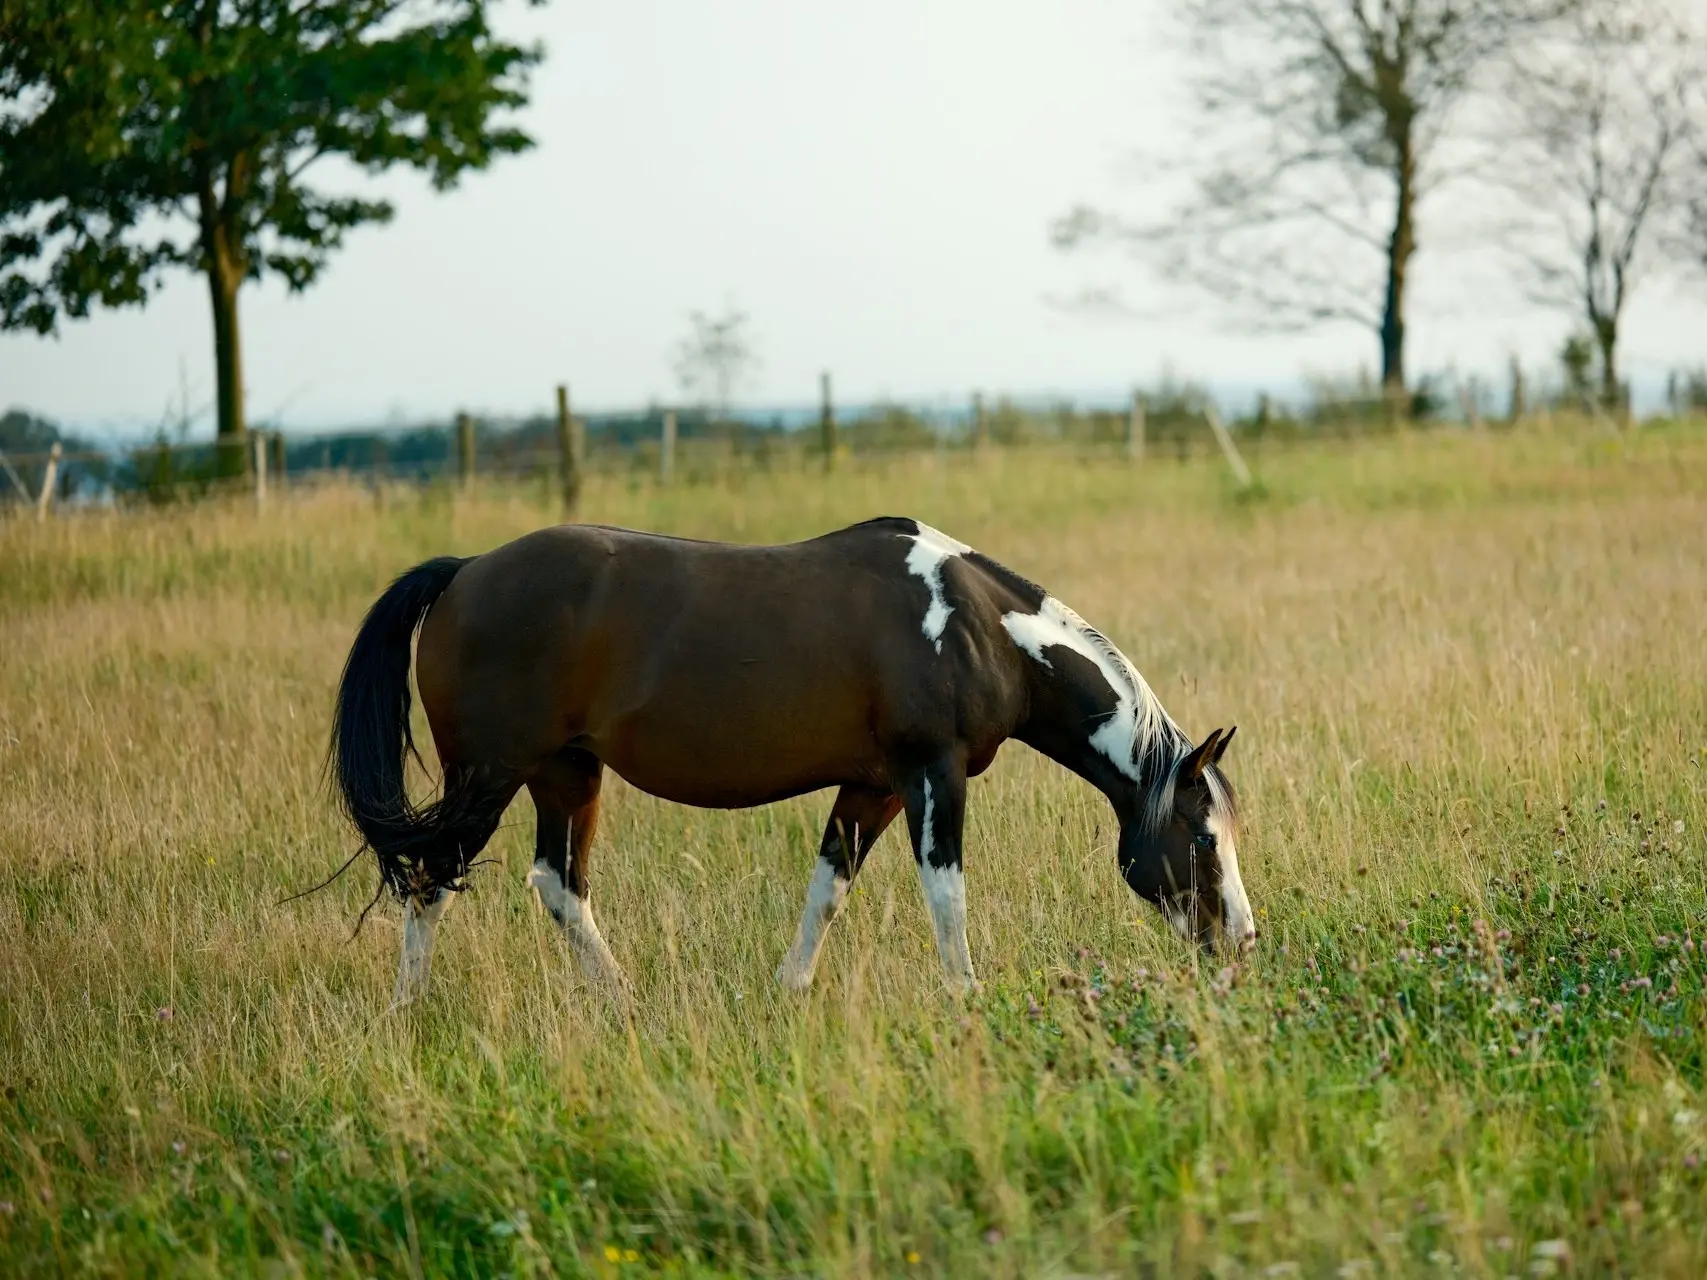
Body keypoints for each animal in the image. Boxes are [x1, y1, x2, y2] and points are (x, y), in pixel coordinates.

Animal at [329, 515, 1256, 1010]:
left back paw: (622, 1001)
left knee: (557, 884)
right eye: (1203, 840)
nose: (1242, 941)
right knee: (432, 879)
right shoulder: (932, 775)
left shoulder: (873, 786)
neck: (973, 628)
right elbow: (945, 895)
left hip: (565, 775)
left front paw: (790, 990)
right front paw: (966, 999)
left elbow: (828, 889)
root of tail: (464, 573)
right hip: (485, 778)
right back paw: (408, 1011)